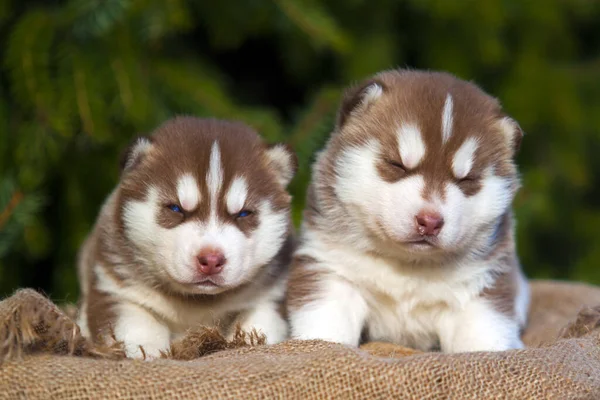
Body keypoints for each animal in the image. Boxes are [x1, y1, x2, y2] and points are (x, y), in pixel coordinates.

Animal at [77, 115, 298, 360]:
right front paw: (147, 350)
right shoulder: (113, 289)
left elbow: (261, 321)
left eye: (243, 213)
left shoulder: (273, 295)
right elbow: (136, 324)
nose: (211, 260)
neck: (196, 301)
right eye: (175, 208)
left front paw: (247, 339)